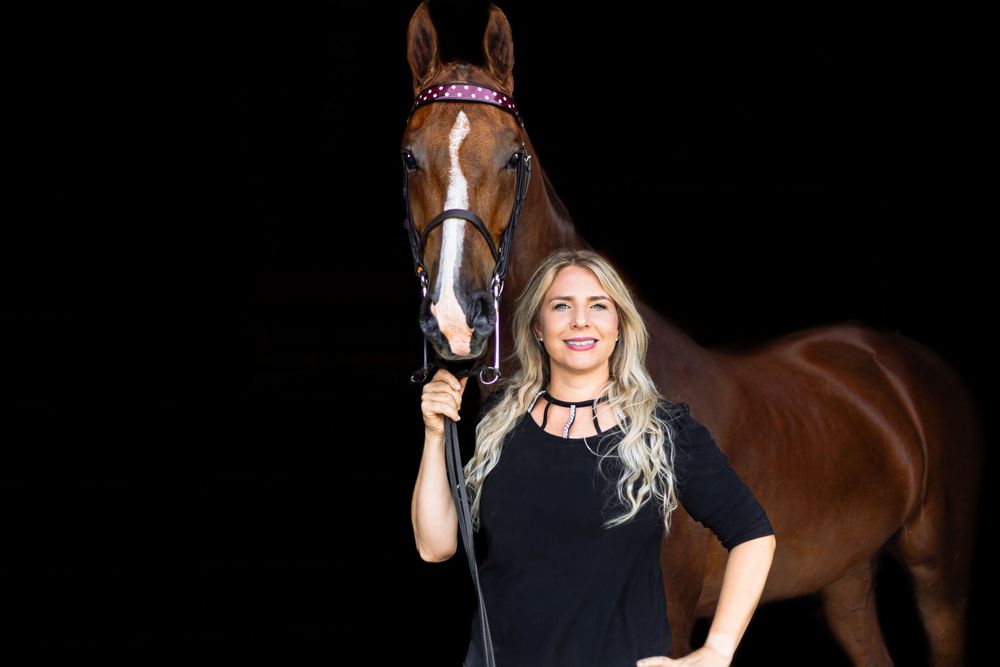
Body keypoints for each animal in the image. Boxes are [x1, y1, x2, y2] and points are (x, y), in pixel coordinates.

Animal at [400, 3, 984, 665]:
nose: (455, 315)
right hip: (845, 580)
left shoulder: (674, 620)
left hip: (940, 574)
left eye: (513, 156)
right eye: (410, 157)